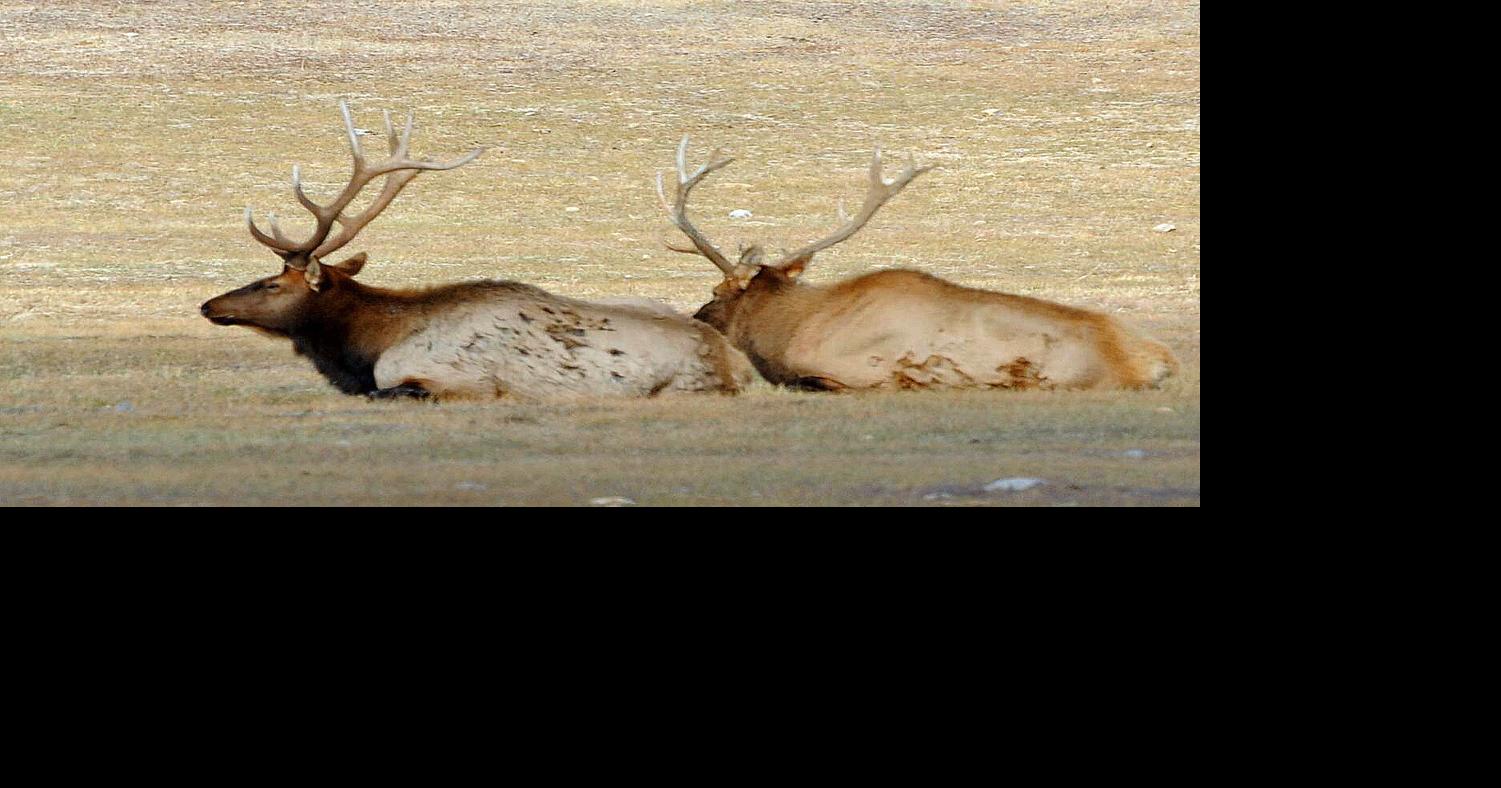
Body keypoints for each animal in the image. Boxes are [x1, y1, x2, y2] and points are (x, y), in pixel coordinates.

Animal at [200, 102, 754, 400]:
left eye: (271, 283)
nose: (208, 305)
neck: (369, 344)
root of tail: (734, 359)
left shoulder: (453, 381)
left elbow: (386, 393)